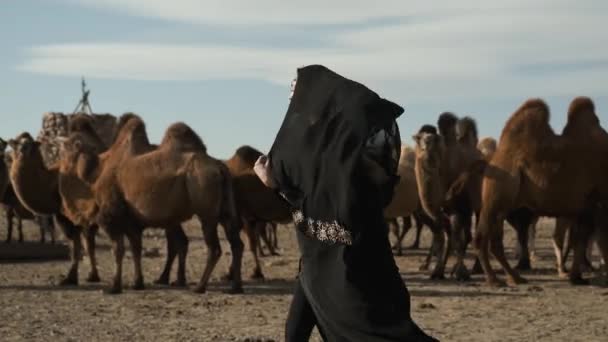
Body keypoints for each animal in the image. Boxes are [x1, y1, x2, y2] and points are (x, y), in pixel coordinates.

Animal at [66, 117, 245, 294]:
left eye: (71, 142)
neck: (98, 171)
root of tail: (220, 168)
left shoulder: (112, 214)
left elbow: (118, 250)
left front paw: (114, 287)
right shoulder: (131, 219)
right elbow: (136, 248)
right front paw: (137, 283)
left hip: (206, 208)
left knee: (214, 248)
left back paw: (200, 287)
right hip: (225, 210)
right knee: (236, 244)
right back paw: (236, 287)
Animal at [476, 97, 608, 288]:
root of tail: (493, 159)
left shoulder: (586, 206)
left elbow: (580, 240)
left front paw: (576, 277)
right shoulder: (597, 201)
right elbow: (594, 239)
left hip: (503, 203)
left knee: (496, 240)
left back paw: (515, 277)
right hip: (496, 196)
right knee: (483, 236)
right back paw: (495, 279)